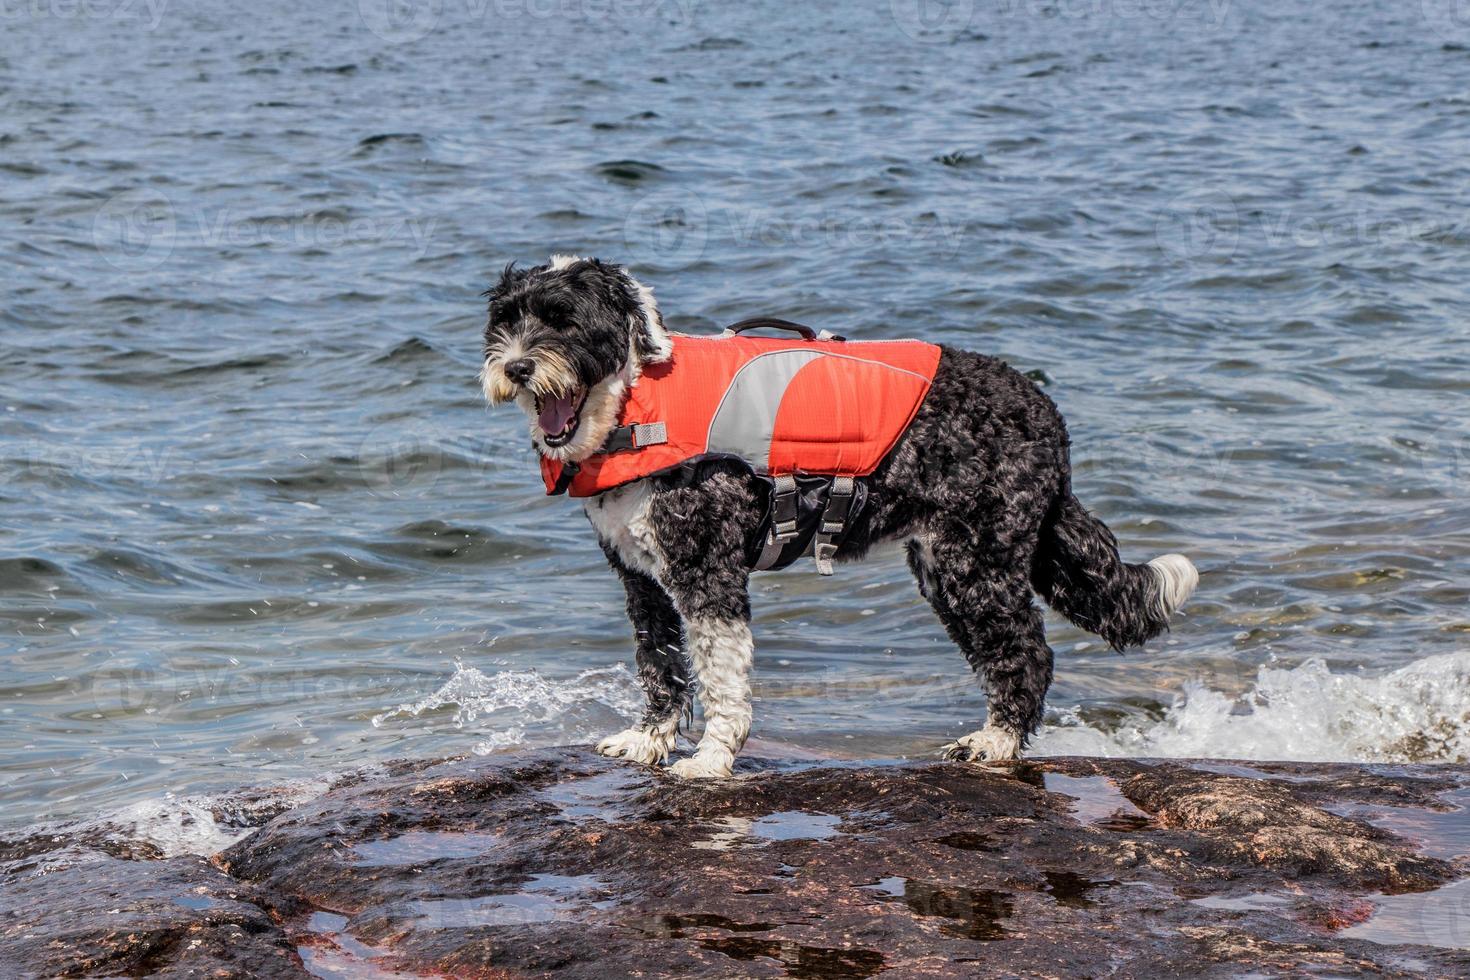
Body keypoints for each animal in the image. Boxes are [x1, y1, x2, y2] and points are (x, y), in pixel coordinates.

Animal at [479, 257, 1193, 775]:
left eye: (564, 321)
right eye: (504, 320)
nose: (516, 366)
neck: (635, 403)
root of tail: (1045, 413)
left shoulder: (707, 572)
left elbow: (720, 675)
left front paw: (710, 759)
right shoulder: (643, 580)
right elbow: (660, 663)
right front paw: (648, 740)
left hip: (976, 562)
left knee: (1026, 652)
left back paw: (995, 743)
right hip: (949, 564)